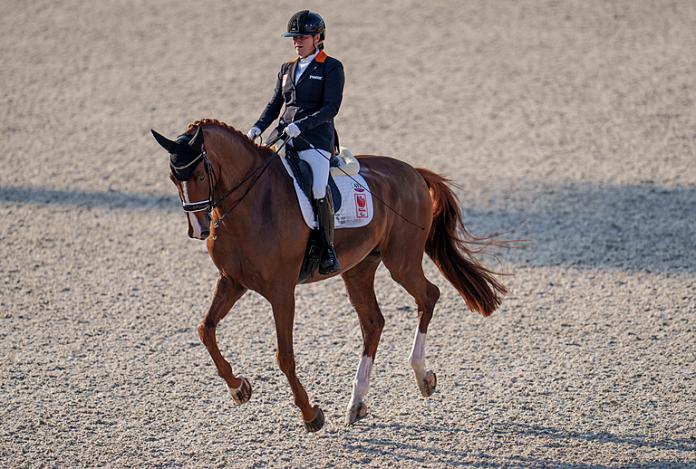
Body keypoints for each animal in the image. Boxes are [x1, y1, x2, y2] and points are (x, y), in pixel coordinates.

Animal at [151, 118, 506, 432]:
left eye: (200, 173)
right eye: (172, 177)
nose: (197, 229)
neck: (250, 203)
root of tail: (413, 172)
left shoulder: (281, 291)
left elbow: (285, 356)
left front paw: (310, 415)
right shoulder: (232, 281)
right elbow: (205, 330)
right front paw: (239, 389)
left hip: (401, 261)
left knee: (428, 296)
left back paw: (422, 377)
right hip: (359, 268)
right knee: (373, 322)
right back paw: (357, 403)